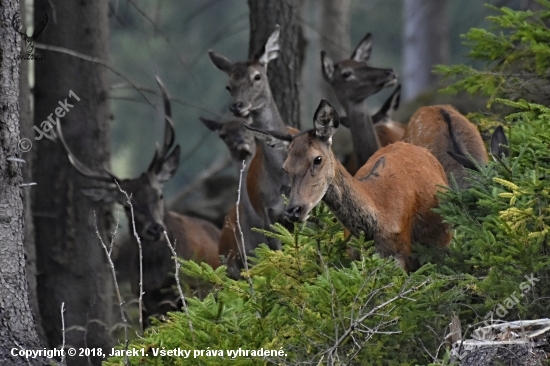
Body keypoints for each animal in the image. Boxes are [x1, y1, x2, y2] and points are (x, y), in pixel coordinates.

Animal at [55, 78, 220, 324]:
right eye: (127, 204)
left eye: (160, 194)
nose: (155, 228)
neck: (158, 274)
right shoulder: (143, 300)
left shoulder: (190, 290)